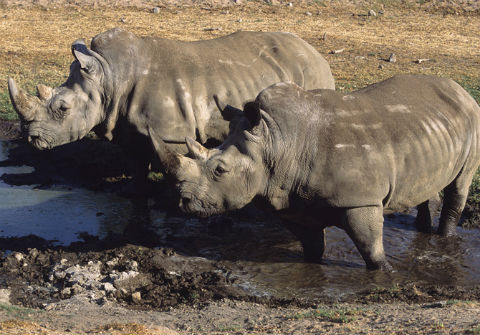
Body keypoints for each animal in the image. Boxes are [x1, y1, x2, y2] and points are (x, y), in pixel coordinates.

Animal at [7, 28, 334, 181]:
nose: (31, 138)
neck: (108, 75)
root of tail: (315, 51)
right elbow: (137, 166)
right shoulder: (128, 127)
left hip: (312, 73)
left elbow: (173, 165)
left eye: (62, 109)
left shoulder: (172, 134)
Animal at [150, 75, 480, 270]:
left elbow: (371, 248)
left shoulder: (361, 200)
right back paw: (424, 229)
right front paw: (311, 265)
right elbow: (311, 246)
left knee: (460, 183)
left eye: (220, 170)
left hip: (473, 118)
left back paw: (445, 237)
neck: (276, 141)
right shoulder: (292, 200)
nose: (183, 203)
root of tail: (458, 89)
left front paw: (384, 272)